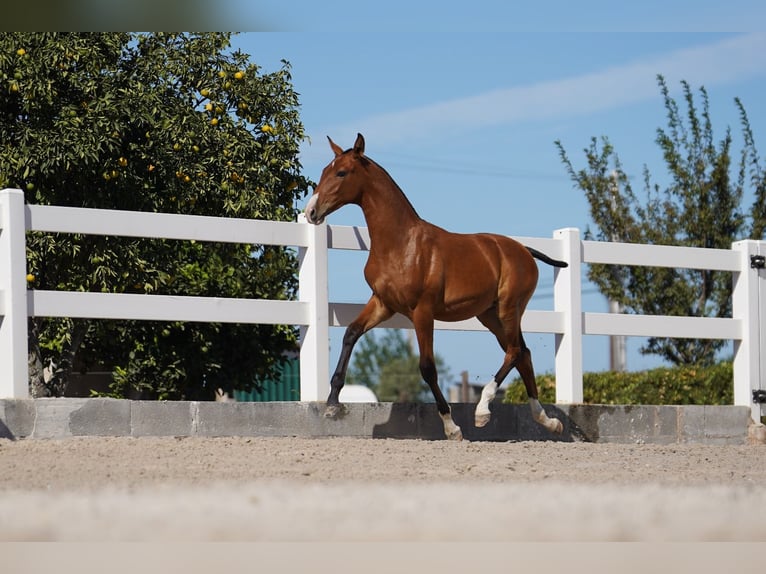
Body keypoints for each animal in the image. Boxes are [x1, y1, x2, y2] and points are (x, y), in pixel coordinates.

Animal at [304, 135, 568, 440]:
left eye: (341, 173)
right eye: (325, 170)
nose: (311, 212)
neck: (400, 244)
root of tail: (524, 250)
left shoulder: (422, 312)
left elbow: (427, 368)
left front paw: (452, 427)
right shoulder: (382, 303)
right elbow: (351, 333)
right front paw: (332, 404)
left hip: (509, 308)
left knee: (514, 352)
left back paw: (483, 411)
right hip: (490, 315)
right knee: (522, 354)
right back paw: (547, 420)